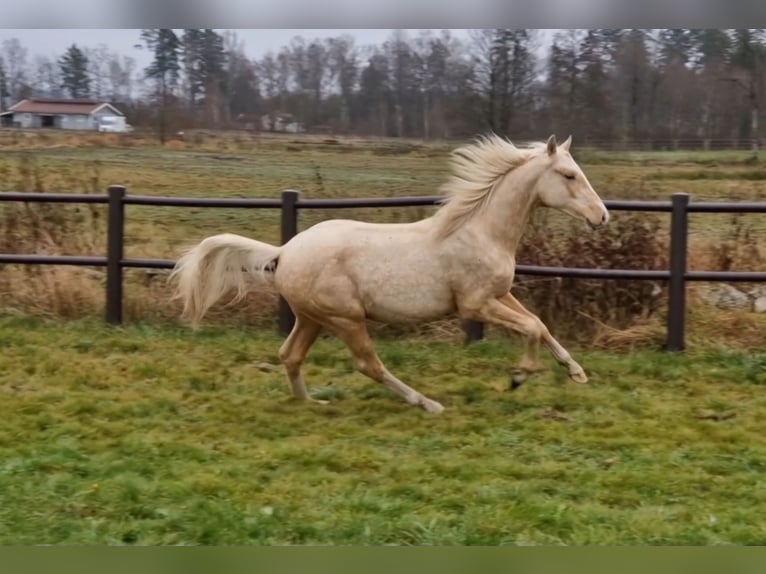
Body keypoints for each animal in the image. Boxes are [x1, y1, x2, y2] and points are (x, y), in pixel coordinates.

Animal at [170, 135, 612, 414]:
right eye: (569, 175)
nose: (602, 216)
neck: (480, 231)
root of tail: (283, 251)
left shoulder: (500, 295)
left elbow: (539, 323)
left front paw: (576, 373)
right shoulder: (475, 306)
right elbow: (533, 328)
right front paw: (520, 376)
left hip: (312, 318)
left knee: (290, 355)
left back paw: (311, 403)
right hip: (345, 318)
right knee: (368, 364)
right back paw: (427, 404)